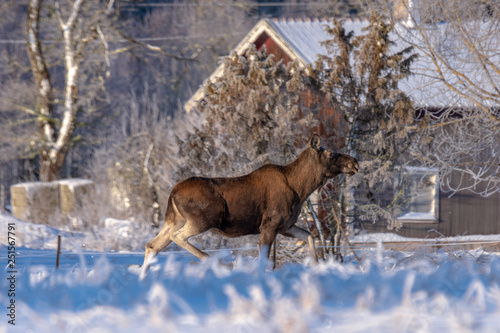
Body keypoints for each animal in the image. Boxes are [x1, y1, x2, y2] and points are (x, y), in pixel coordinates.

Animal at [143, 133, 358, 270]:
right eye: (331, 154)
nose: (354, 162)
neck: (301, 188)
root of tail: (172, 193)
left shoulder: (285, 226)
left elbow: (310, 236)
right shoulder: (269, 225)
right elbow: (264, 262)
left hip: (173, 220)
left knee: (152, 245)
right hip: (204, 219)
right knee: (177, 237)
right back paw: (218, 262)